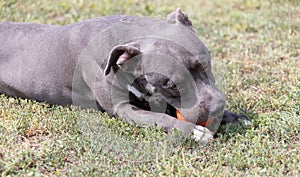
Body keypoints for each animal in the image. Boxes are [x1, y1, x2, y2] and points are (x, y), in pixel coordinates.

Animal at [0, 9, 248, 142]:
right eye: (173, 85)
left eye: (205, 63)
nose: (217, 108)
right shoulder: (124, 109)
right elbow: (159, 118)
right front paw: (194, 131)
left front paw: (233, 116)